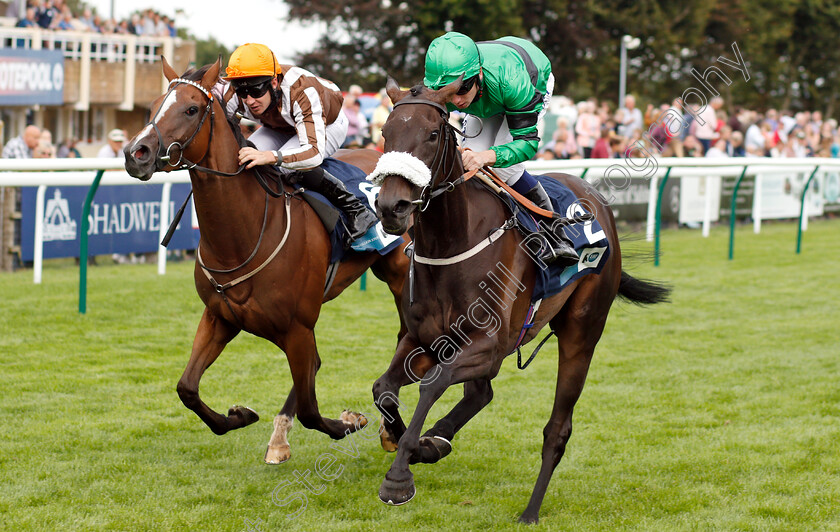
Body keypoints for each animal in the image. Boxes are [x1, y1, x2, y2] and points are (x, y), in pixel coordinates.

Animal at [124, 58, 410, 464]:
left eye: (191, 109)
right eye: (151, 107)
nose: (137, 153)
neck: (241, 236)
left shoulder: (298, 327)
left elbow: (311, 410)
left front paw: (350, 421)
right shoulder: (221, 317)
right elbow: (187, 388)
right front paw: (239, 416)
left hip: (400, 273)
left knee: (404, 336)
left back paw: (390, 426)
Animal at [372, 80, 668, 524]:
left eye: (432, 134)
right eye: (386, 133)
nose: (393, 207)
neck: (450, 242)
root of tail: (598, 203)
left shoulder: (489, 347)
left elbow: (433, 383)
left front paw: (399, 475)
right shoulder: (422, 340)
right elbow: (384, 387)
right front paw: (403, 438)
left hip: (581, 333)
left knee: (557, 429)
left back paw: (530, 510)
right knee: (480, 395)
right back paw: (436, 440)